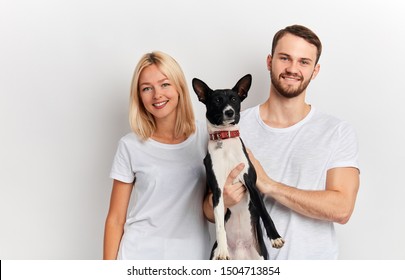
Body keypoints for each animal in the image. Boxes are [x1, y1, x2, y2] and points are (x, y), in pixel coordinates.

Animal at [191, 73, 282, 260]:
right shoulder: (218, 191)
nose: (229, 112)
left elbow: (264, 212)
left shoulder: (251, 183)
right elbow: (219, 225)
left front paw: (275, 237)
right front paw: (223, 250)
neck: (224, 141)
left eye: (234, 99)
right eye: (217, 100)